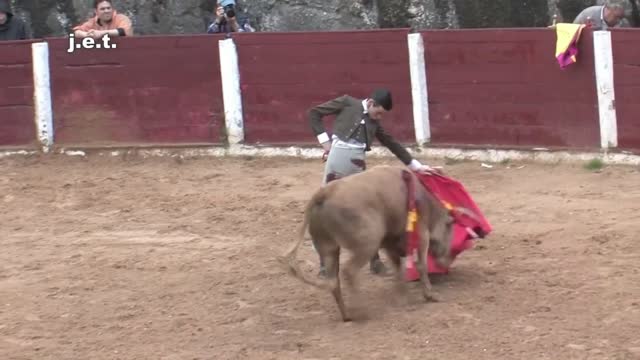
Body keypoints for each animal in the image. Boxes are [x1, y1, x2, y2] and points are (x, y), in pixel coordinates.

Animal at [278, 165, 468, 322]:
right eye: (450, 230)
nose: (445, 264)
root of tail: (324, 193)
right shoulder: (421, 235)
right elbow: (420, 265)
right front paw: (430, 295)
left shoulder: (390, 242)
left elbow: (398, 267)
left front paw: (402, 297)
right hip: (367, 243)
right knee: (349, 271)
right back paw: (362, 311)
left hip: (327, 247)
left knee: (333, 281)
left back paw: (347, 315)